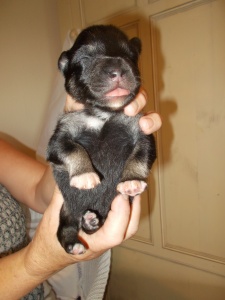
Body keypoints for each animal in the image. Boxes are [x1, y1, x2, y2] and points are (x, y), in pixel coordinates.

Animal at [47, 25, 156, 253]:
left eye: (130, 56)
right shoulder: (59, 136)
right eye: (86, 58)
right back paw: (74, 243)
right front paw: (85, 175)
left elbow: (141, 154)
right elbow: (71, 148)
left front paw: (132, 180)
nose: (117, 70)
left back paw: (90, 223)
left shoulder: (141, 130)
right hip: (67, 206)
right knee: (65, 225)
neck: (104, 113)